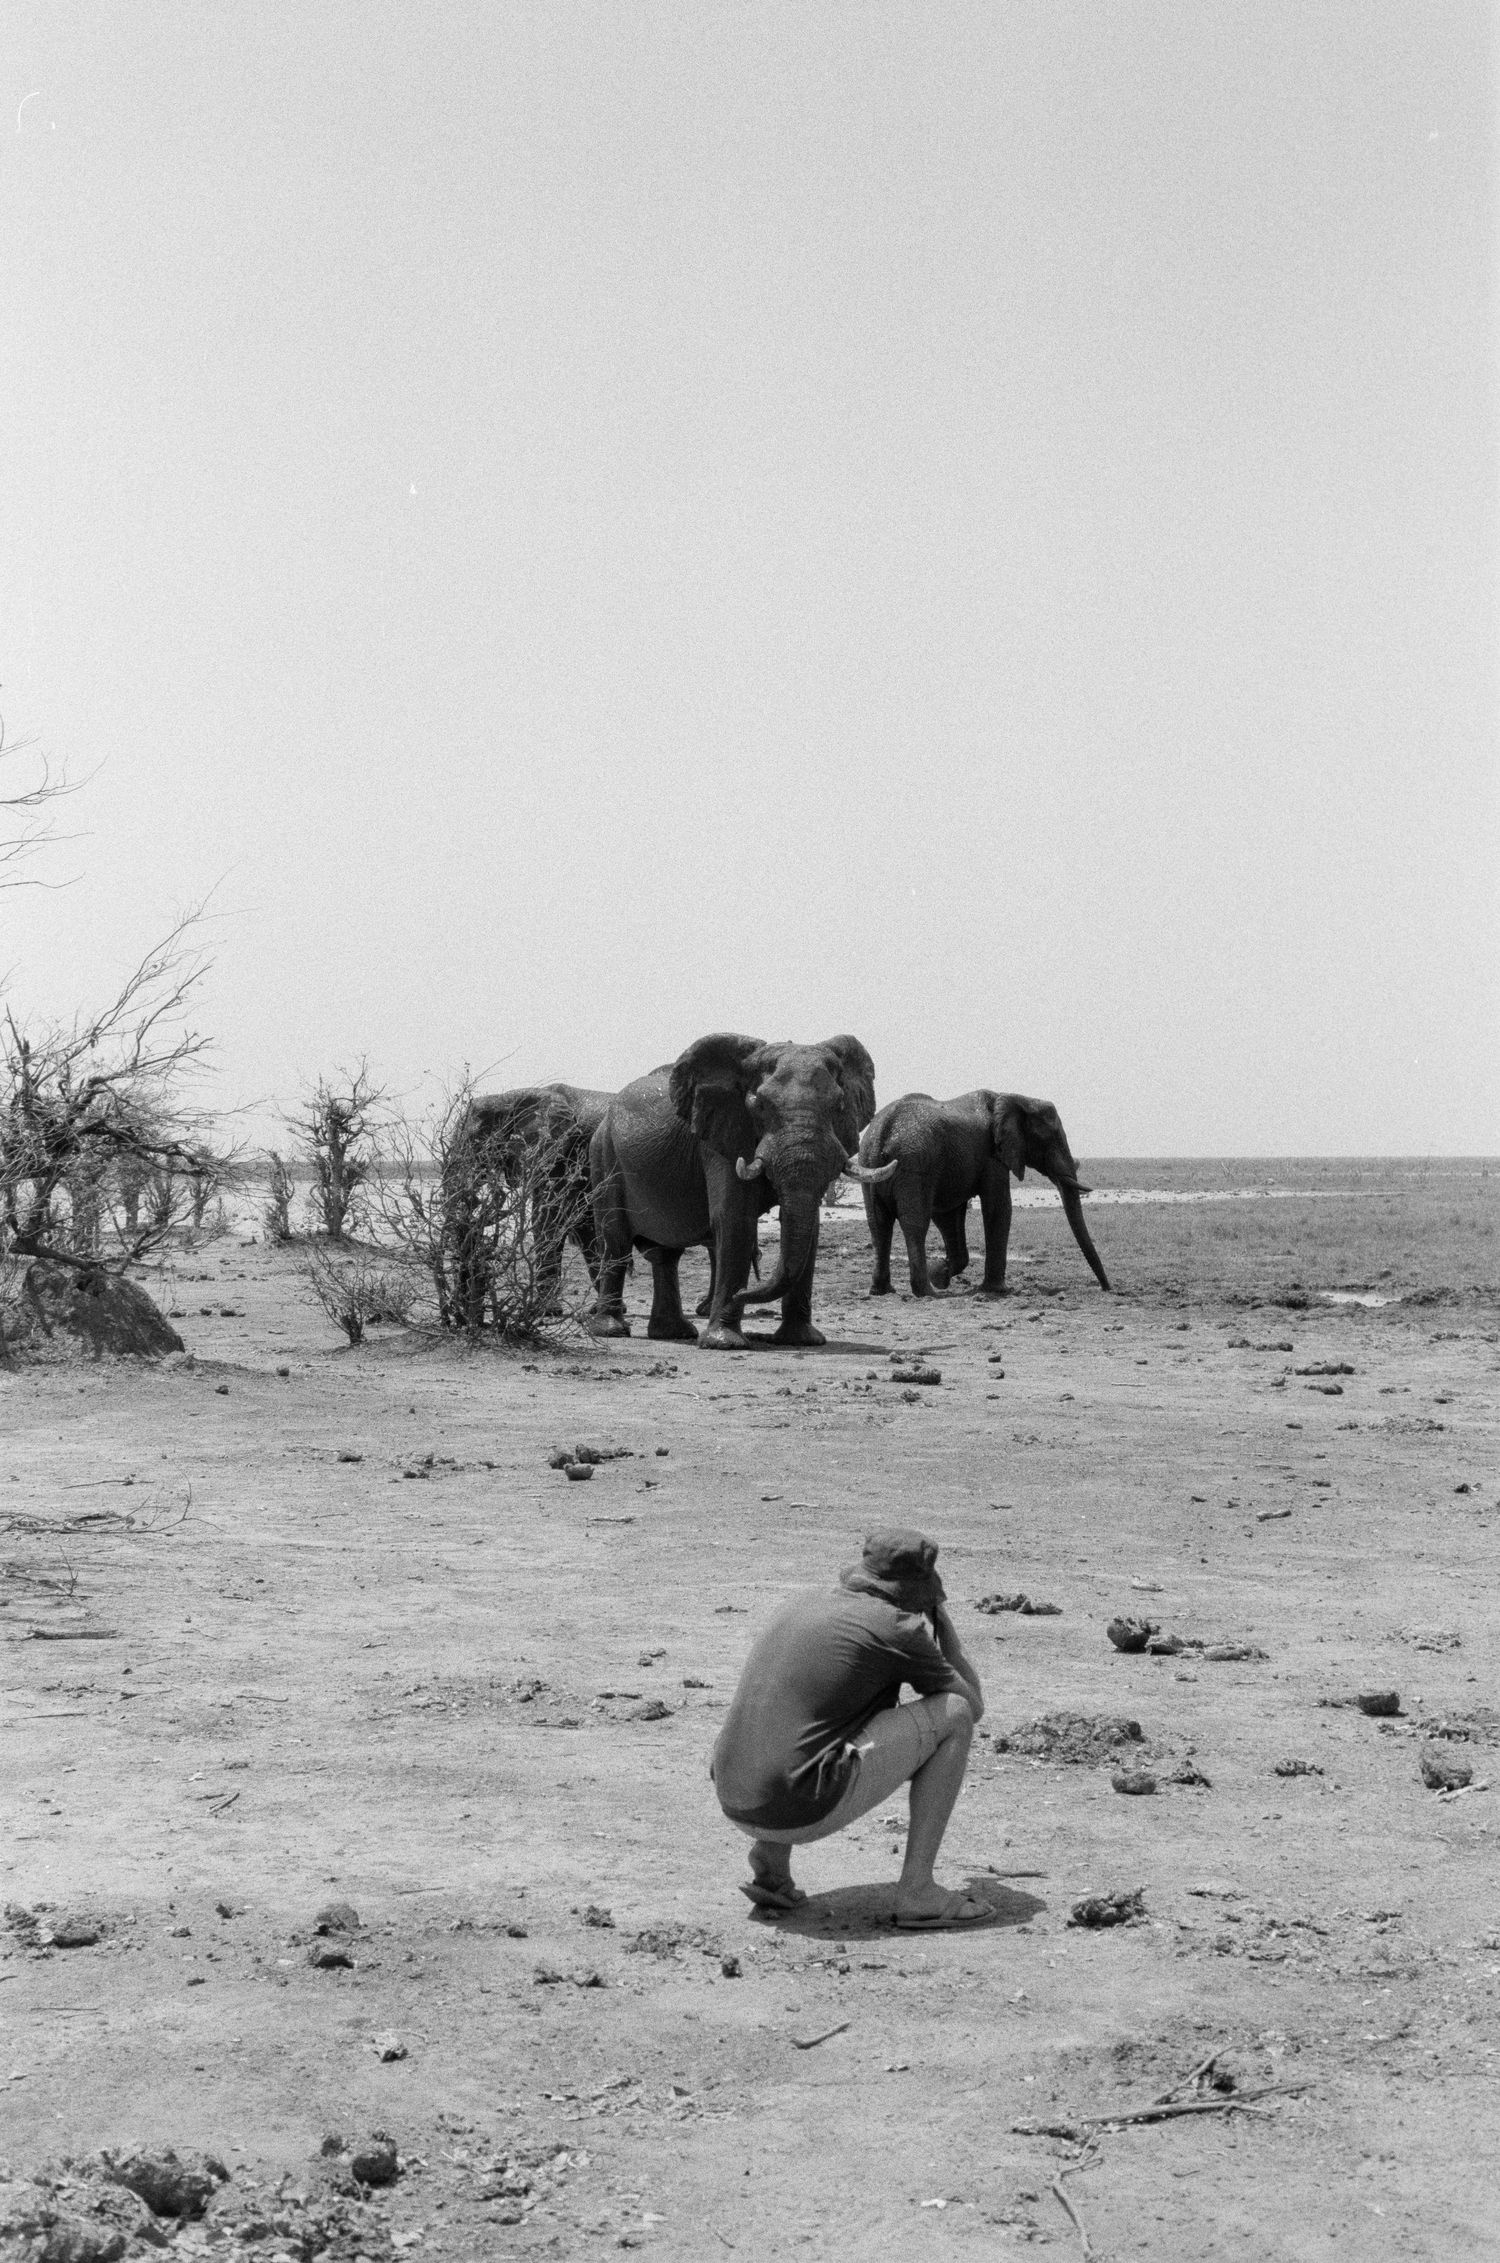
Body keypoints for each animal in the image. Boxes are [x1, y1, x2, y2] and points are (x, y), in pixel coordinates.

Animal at [589, 1031, 894, 1350]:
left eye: (839, 1106)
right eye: (760, 1106)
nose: (742, 1293)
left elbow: (809, 1226)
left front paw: (802, 1341)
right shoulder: (721, 1137)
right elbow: (735, 1219)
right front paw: (724, 1344)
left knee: (665, 1255)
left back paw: (674, 1333)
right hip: (603, 1156)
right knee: (615, 1240)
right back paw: (611, 1330)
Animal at [857, 1089, 1110, 1298]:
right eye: (1050, 1139)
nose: (1107, 1288)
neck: (1016, 1098)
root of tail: (882, 1133)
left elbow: (949, 1216)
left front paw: (940, 1274)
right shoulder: (992, 1155)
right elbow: (999, 1207)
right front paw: (996, 1290)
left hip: (869, 1164)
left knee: (878, 1224)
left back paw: (883, 1290)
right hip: (914, 1163)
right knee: (915, 1224)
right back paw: (927, 1292)